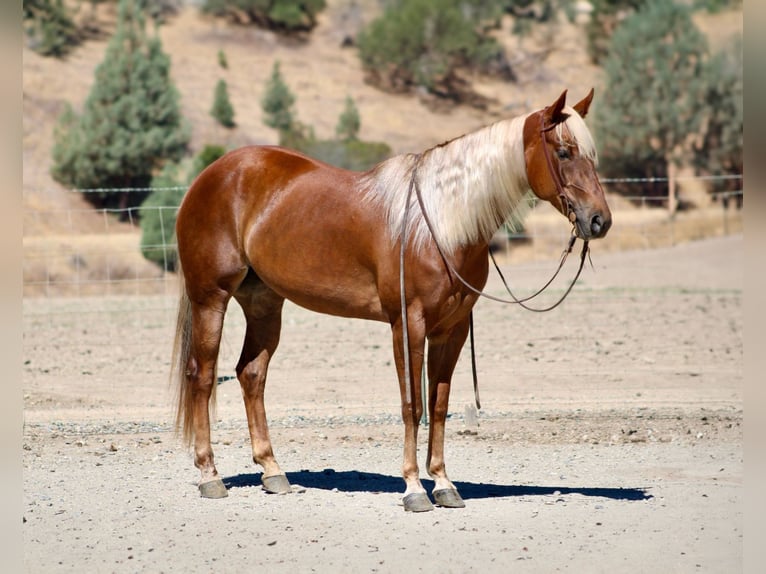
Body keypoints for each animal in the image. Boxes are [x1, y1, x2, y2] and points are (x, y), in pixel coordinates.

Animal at [172, 89, 612, 512]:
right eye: (563, 151)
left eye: (591, 155)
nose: (599, 221)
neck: (438, 224)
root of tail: (209, 176)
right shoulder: (407, 324)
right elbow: (411, 405)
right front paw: (414, 488)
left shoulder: (451, 330)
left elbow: (438, 405)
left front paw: (444, 485)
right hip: (211, 298)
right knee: (203, 376)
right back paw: (210, 476)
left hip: (264, 304)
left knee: (251, 374)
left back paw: (273, 472)